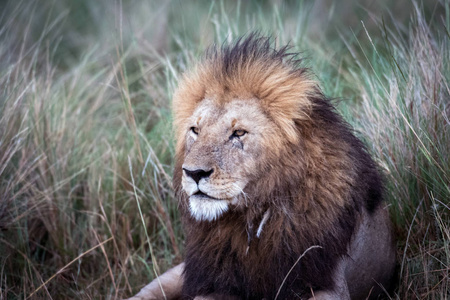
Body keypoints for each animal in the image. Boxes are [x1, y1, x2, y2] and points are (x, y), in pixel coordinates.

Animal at [128, 34, 396, 300]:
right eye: (195, 130)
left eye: (238, 133)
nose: (194, 173)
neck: (252, 217)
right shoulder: (213, 281)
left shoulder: (327, 283)